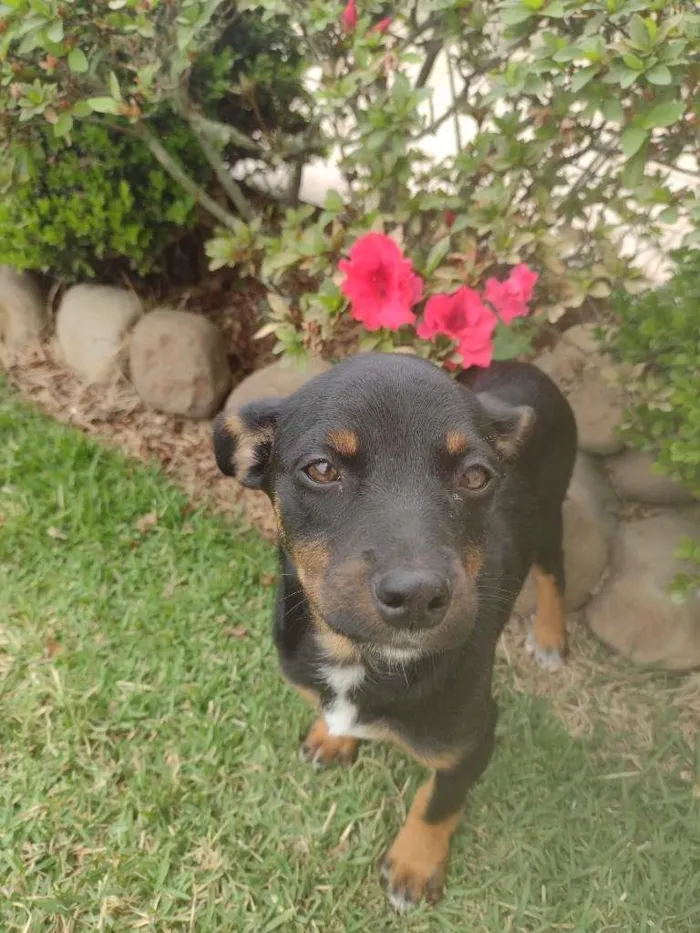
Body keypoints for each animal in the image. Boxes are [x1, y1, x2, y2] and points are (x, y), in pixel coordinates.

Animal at [216, 352, 576, 912]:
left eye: (477, 476)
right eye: (322, 469)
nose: (417, 597)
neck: (360, 657)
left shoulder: (472, 739)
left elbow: (438, 802)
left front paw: (414, 867)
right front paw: (332, 737)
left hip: (552, 508)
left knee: (553, 571)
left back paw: (551, 637)